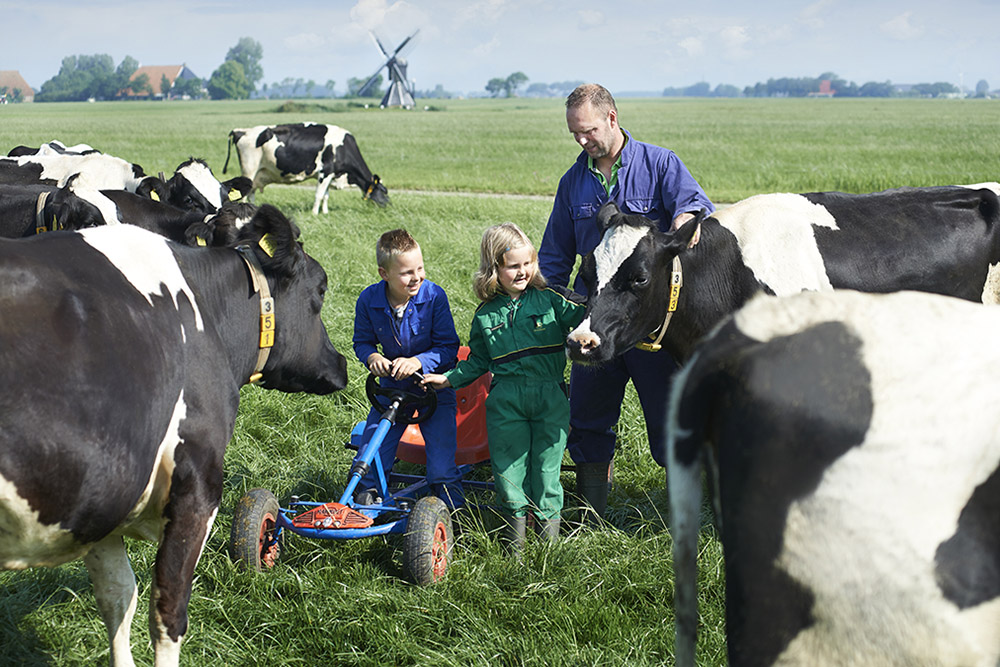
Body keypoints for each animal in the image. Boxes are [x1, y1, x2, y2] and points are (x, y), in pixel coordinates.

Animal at [0, 206, 348, 664]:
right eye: (321, 289)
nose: (342, 363)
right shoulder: (197, 486)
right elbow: (168, 612)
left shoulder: (103, 500)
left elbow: (118, 596)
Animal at [225, 121, 388, 213]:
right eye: (383, 191)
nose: (388, 205)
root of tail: (242, 131)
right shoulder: (325, 173)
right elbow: (319, 195)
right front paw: (315, 213)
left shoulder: (330, 174)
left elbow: (326, 196)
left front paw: (325, 212)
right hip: (249, 170)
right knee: (243, 195)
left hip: (257, 173)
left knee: (251, 194)